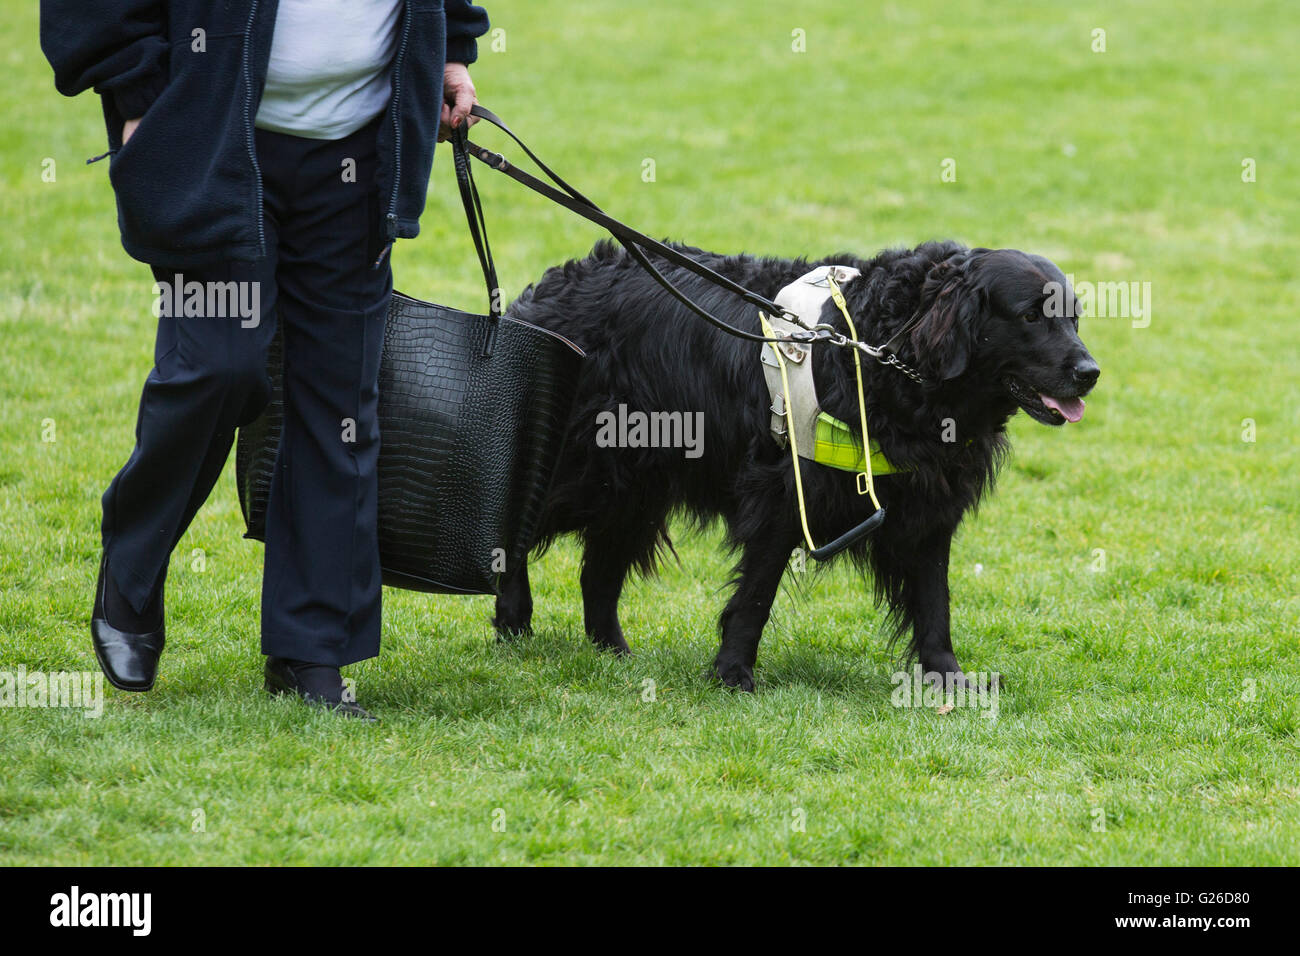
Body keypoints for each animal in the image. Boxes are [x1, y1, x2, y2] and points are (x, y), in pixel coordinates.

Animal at [491, 238, 1102, 686]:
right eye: (1030, 316)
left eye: (1073, 318)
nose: (1091, 372)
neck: (880, 352)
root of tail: (544, 291)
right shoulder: (784, 494)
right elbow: (756, 595)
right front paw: (733, 674)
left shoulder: (927, 511)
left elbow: (935, 603)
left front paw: (946, 680)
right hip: (585, 471)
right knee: (513, 530)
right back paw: (513, 619)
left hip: (635, 485)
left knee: (597, 572)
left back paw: (613, 652)